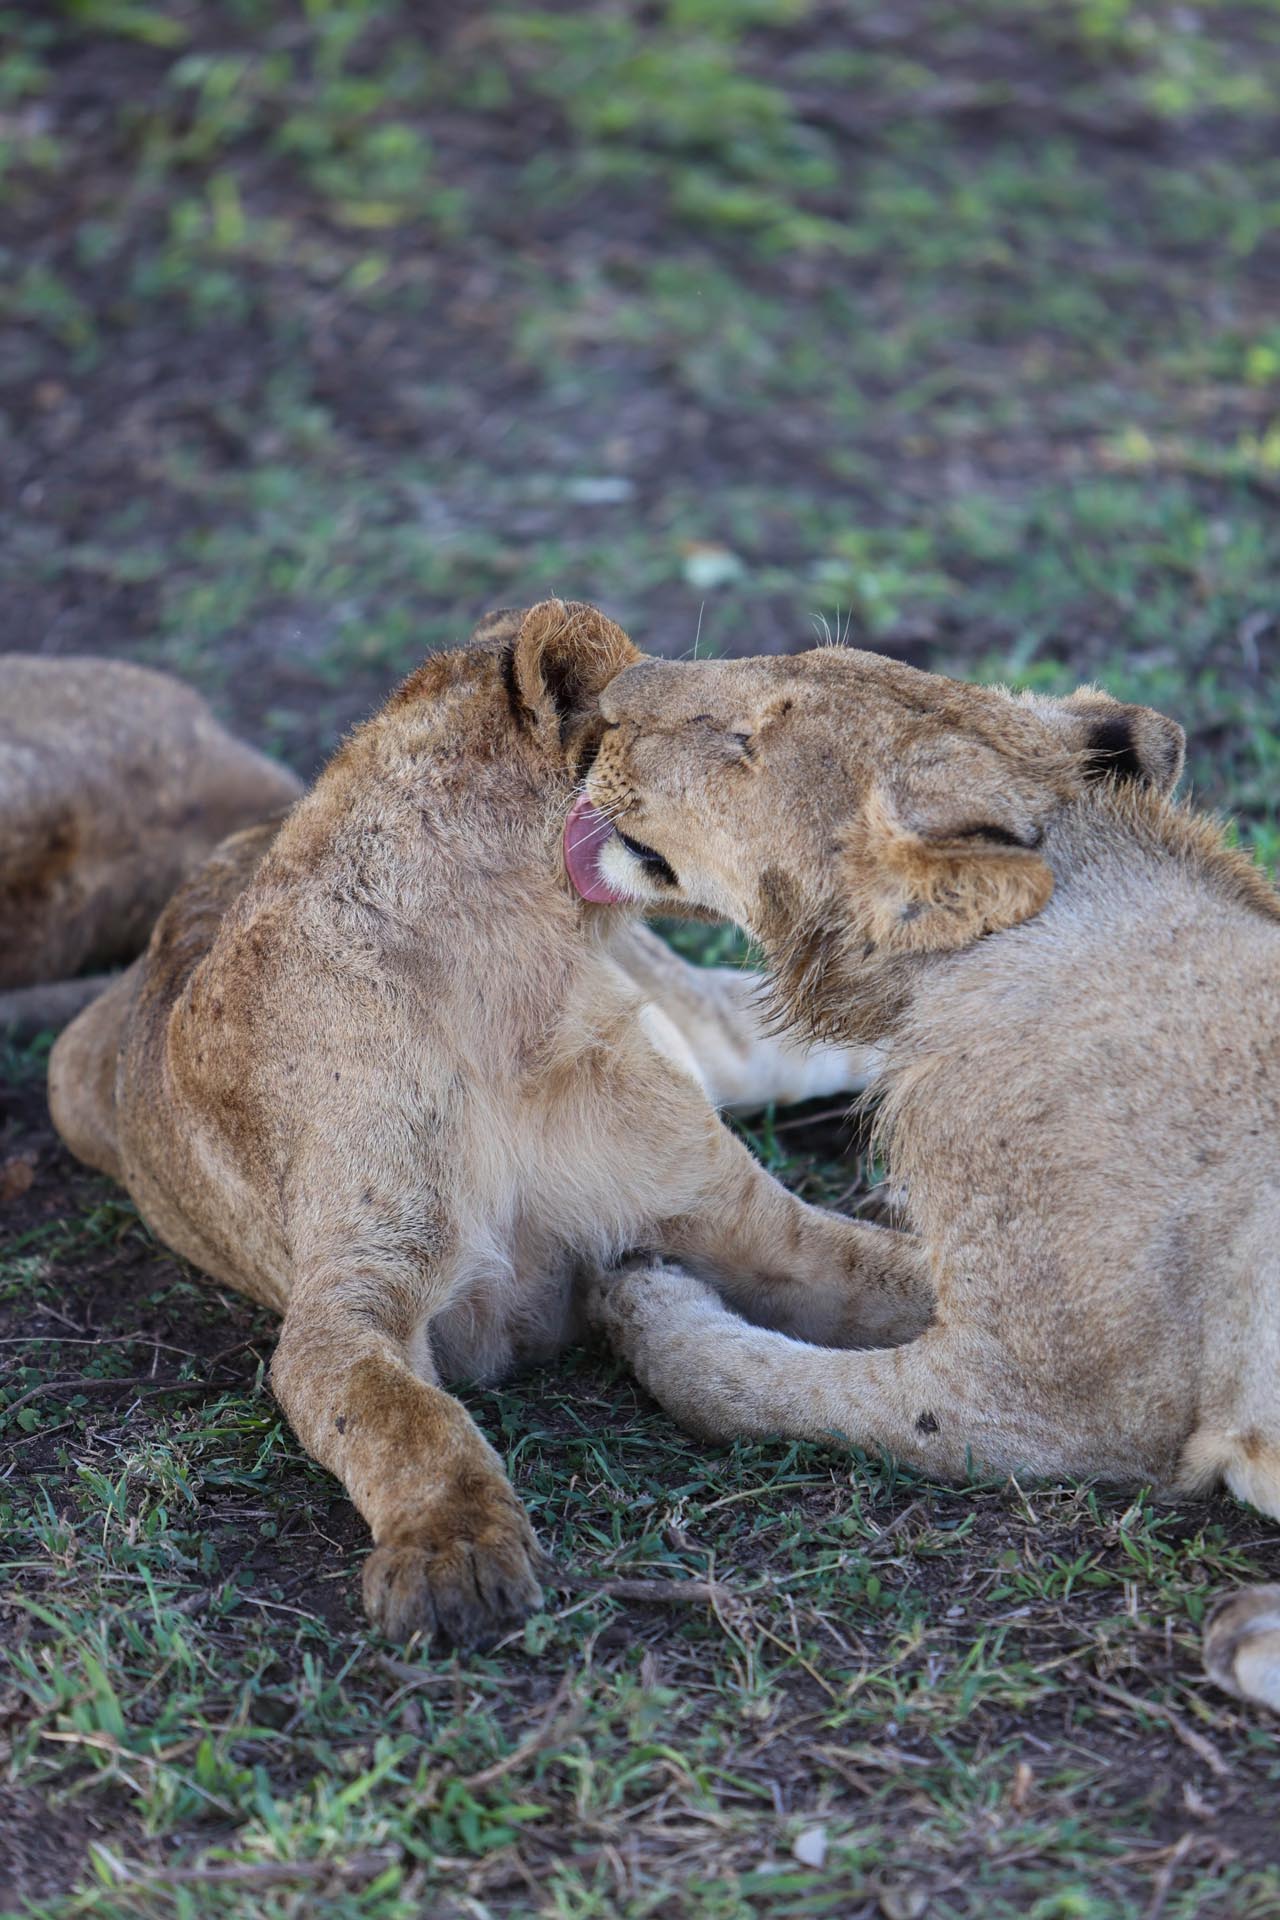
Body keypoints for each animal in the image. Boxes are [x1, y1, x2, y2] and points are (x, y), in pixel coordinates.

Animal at [49, 602, 888, 1649]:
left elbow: (899, 1277)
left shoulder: (749, 1225)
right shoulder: (351, 1300)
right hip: (64, 1078)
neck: (529, 990)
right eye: (725, 729)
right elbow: (401, 1418)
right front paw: (454, 1556)